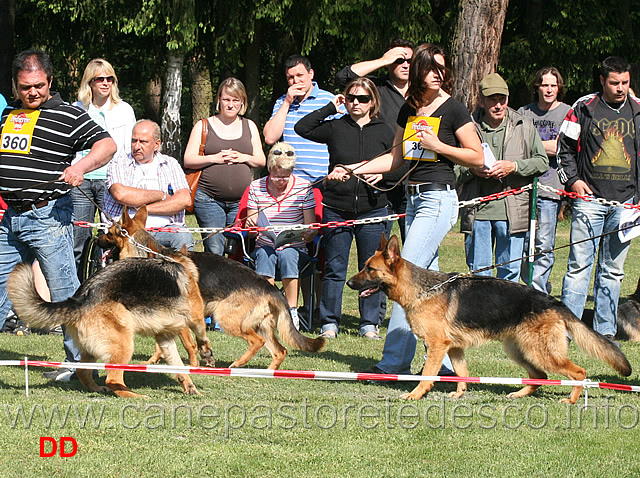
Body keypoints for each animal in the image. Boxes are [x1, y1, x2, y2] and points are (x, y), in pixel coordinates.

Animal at [6, 252, 214, 398]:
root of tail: (81, 297)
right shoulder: (195, 317)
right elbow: (201, 334)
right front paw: (206, 354)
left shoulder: (165, 338)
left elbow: (178, 366)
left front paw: (190, 387)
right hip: (123, 344)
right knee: (113, 379)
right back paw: (134, 395)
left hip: (93, 348)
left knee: (82, 371)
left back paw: (97, 388)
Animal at [97, 206, 328, 370]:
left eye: (109, 233)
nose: (96, 238)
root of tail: (269, 287)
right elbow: (161, 344)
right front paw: (154, 361)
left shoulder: (183, 322)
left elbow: (190, 346)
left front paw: (193, 366)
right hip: (260, 324)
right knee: (279, 351)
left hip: (226, 318)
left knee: (258, 341)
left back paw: (238, 364)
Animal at [348, 235, 632, 404]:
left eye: (370, 269)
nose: (349, 283)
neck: (422, 289)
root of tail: (554, 302)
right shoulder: (454, 348)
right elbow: (462, 373)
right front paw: (459, 394)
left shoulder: (437, 346)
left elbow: (428, 375)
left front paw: (415, 395)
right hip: (520, 350)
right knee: (538, 375)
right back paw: (518, 393)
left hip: (540, 352)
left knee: (578, 372)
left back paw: (572, 400)